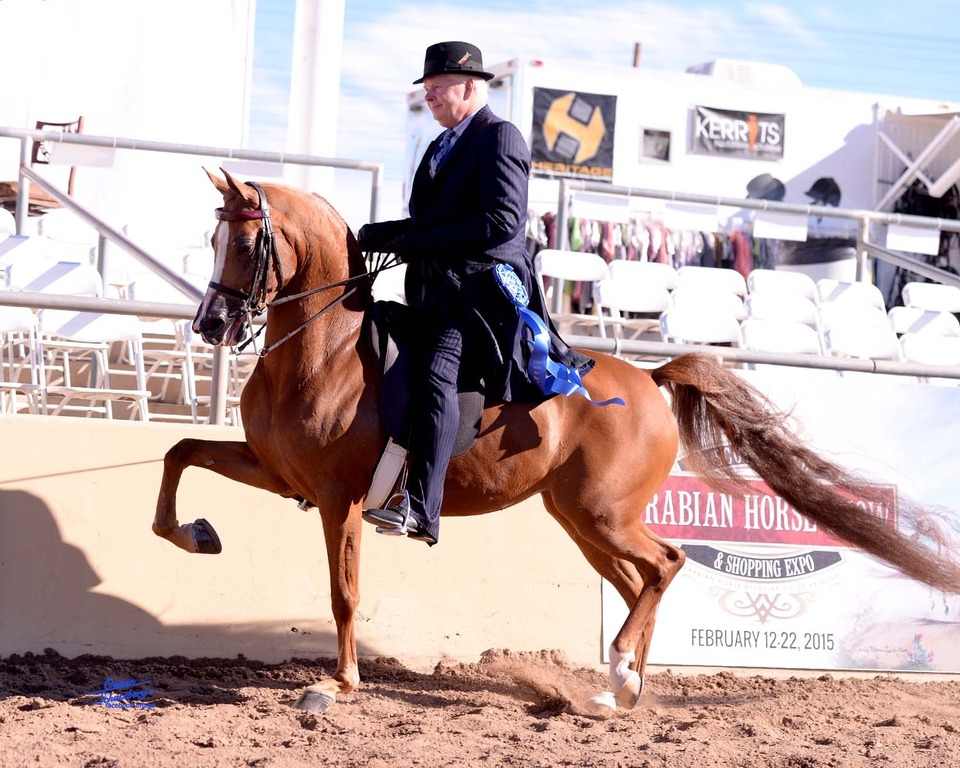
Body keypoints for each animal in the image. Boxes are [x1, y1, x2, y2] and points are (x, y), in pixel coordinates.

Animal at [153, 168, 960, 716]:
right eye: (215, 236)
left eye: (246, 240)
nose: (210, 325)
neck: (322, 354)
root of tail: (651, 379)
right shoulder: (276, 472)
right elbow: (178, 454)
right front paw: (197, 534)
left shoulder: (339, 498)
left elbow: (344, 592)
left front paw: (339, 683)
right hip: (578, 517)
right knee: (641, 582)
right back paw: (623, 687)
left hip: (603, 513)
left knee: (665, 564)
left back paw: (620, 679)